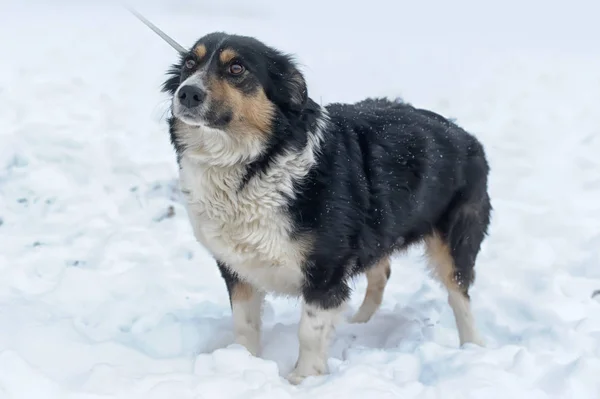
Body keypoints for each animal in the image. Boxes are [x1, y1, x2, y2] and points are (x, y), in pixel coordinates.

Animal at [162, 32, 490, 384]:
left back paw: (472, 348)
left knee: (459, 295)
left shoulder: (325, 271)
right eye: (189, 64)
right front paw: (243, 364)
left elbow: (309, 331)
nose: (188, 93)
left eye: (237, 68)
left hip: (454, 242)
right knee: (381, 273)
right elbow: (244, 324)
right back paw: (360, 323)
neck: (258, 164)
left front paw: (302, 380)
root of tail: (466, 136)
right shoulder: (237, 269)